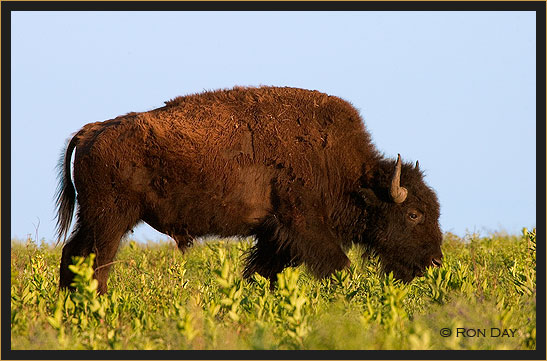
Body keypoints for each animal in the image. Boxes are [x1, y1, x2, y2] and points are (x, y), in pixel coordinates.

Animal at [55, 86, 444, 294]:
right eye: (414, 214)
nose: (435, 262)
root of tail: (92, 130)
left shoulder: (275, 235)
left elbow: (263, 272)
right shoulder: (303, 225)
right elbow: (339, 266)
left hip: (92, 218)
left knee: (73, 254)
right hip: (110, 219)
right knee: (97, 261)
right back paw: (97, 304)